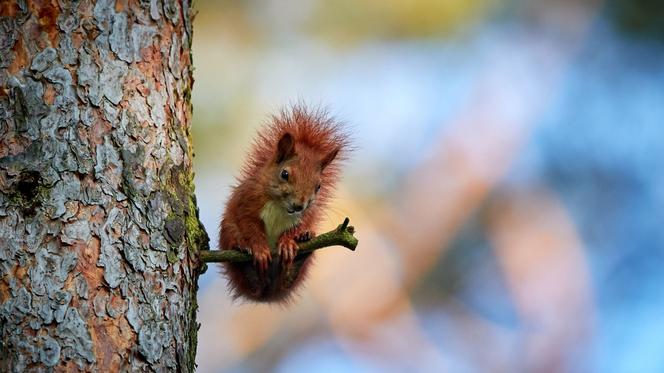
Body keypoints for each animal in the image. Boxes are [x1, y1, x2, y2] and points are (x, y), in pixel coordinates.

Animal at [220, 104, 350, 302]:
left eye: (319, 186)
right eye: (285, 174)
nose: (299, 205)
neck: (280, 206)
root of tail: (267, 294)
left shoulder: (307, 214)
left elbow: (299, 224)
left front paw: (289, 242)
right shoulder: (246, 202)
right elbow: (250, 225)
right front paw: (259, 248)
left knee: (286, 280)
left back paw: (301, 250)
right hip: (227, 231)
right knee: (250, 279)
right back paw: (242, 254)